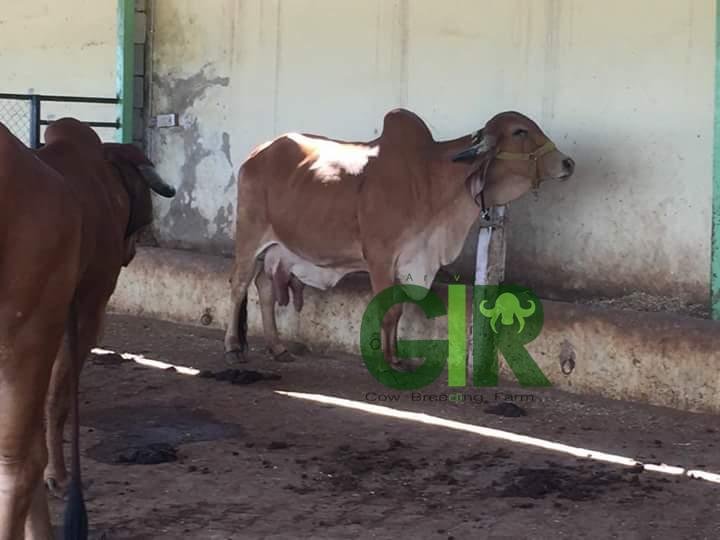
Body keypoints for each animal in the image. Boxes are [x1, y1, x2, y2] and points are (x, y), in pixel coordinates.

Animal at [0, 118, 175, 539]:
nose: (134, 249)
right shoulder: (87, 305)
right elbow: (59, 397)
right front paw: (61, 476)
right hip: (25, 329)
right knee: (17, 461)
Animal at [223, 108, 575, 367]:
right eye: (519, 131)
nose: (568, 162)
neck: (432, 180)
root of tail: (258, 151)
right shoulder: (380, 258)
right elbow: (388, 311)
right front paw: (386, 360)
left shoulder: (411, 262)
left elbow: (400, 309)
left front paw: (396, 357)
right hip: (249, 235)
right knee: (239, 284)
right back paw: (232, 346)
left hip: (276, 248)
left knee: (265, 287)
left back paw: (277, 347)